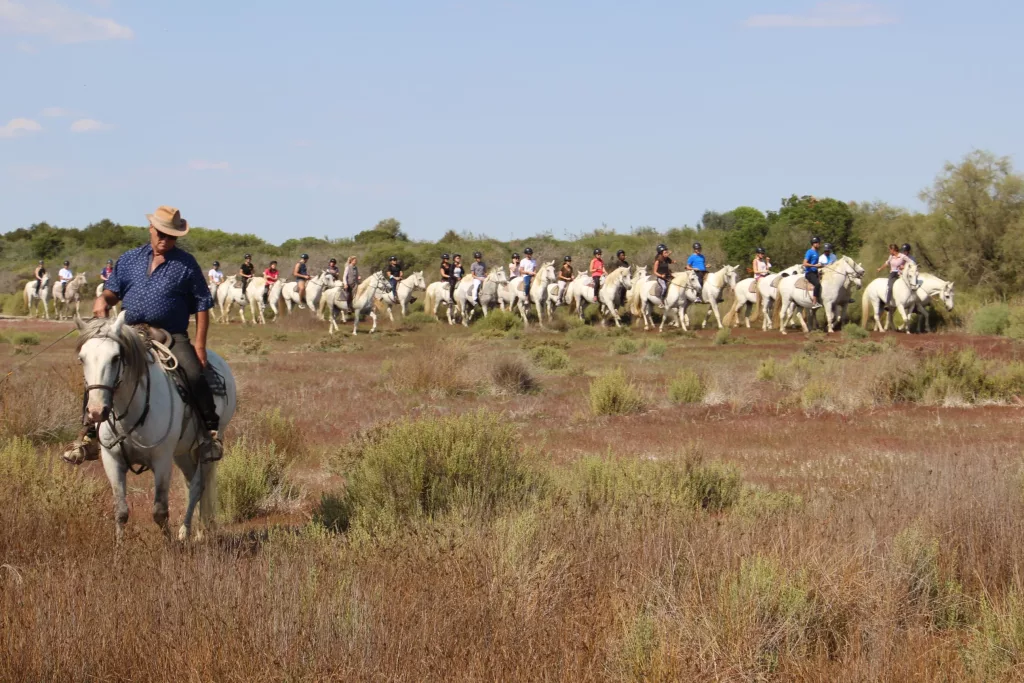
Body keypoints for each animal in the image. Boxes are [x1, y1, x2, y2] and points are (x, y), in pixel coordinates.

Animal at [74, 315, 236, 544]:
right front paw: (119, 547)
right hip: (183, 452)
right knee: (191, 484)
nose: (97, 411)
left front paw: (169, 545)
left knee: (197, 487)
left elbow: (159, 510)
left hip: (207, 449)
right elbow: (120, 510)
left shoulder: (162, 460)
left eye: (116, 357)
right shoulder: (112, 459)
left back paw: (187, 532)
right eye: (82, 358)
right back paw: (195, 531)